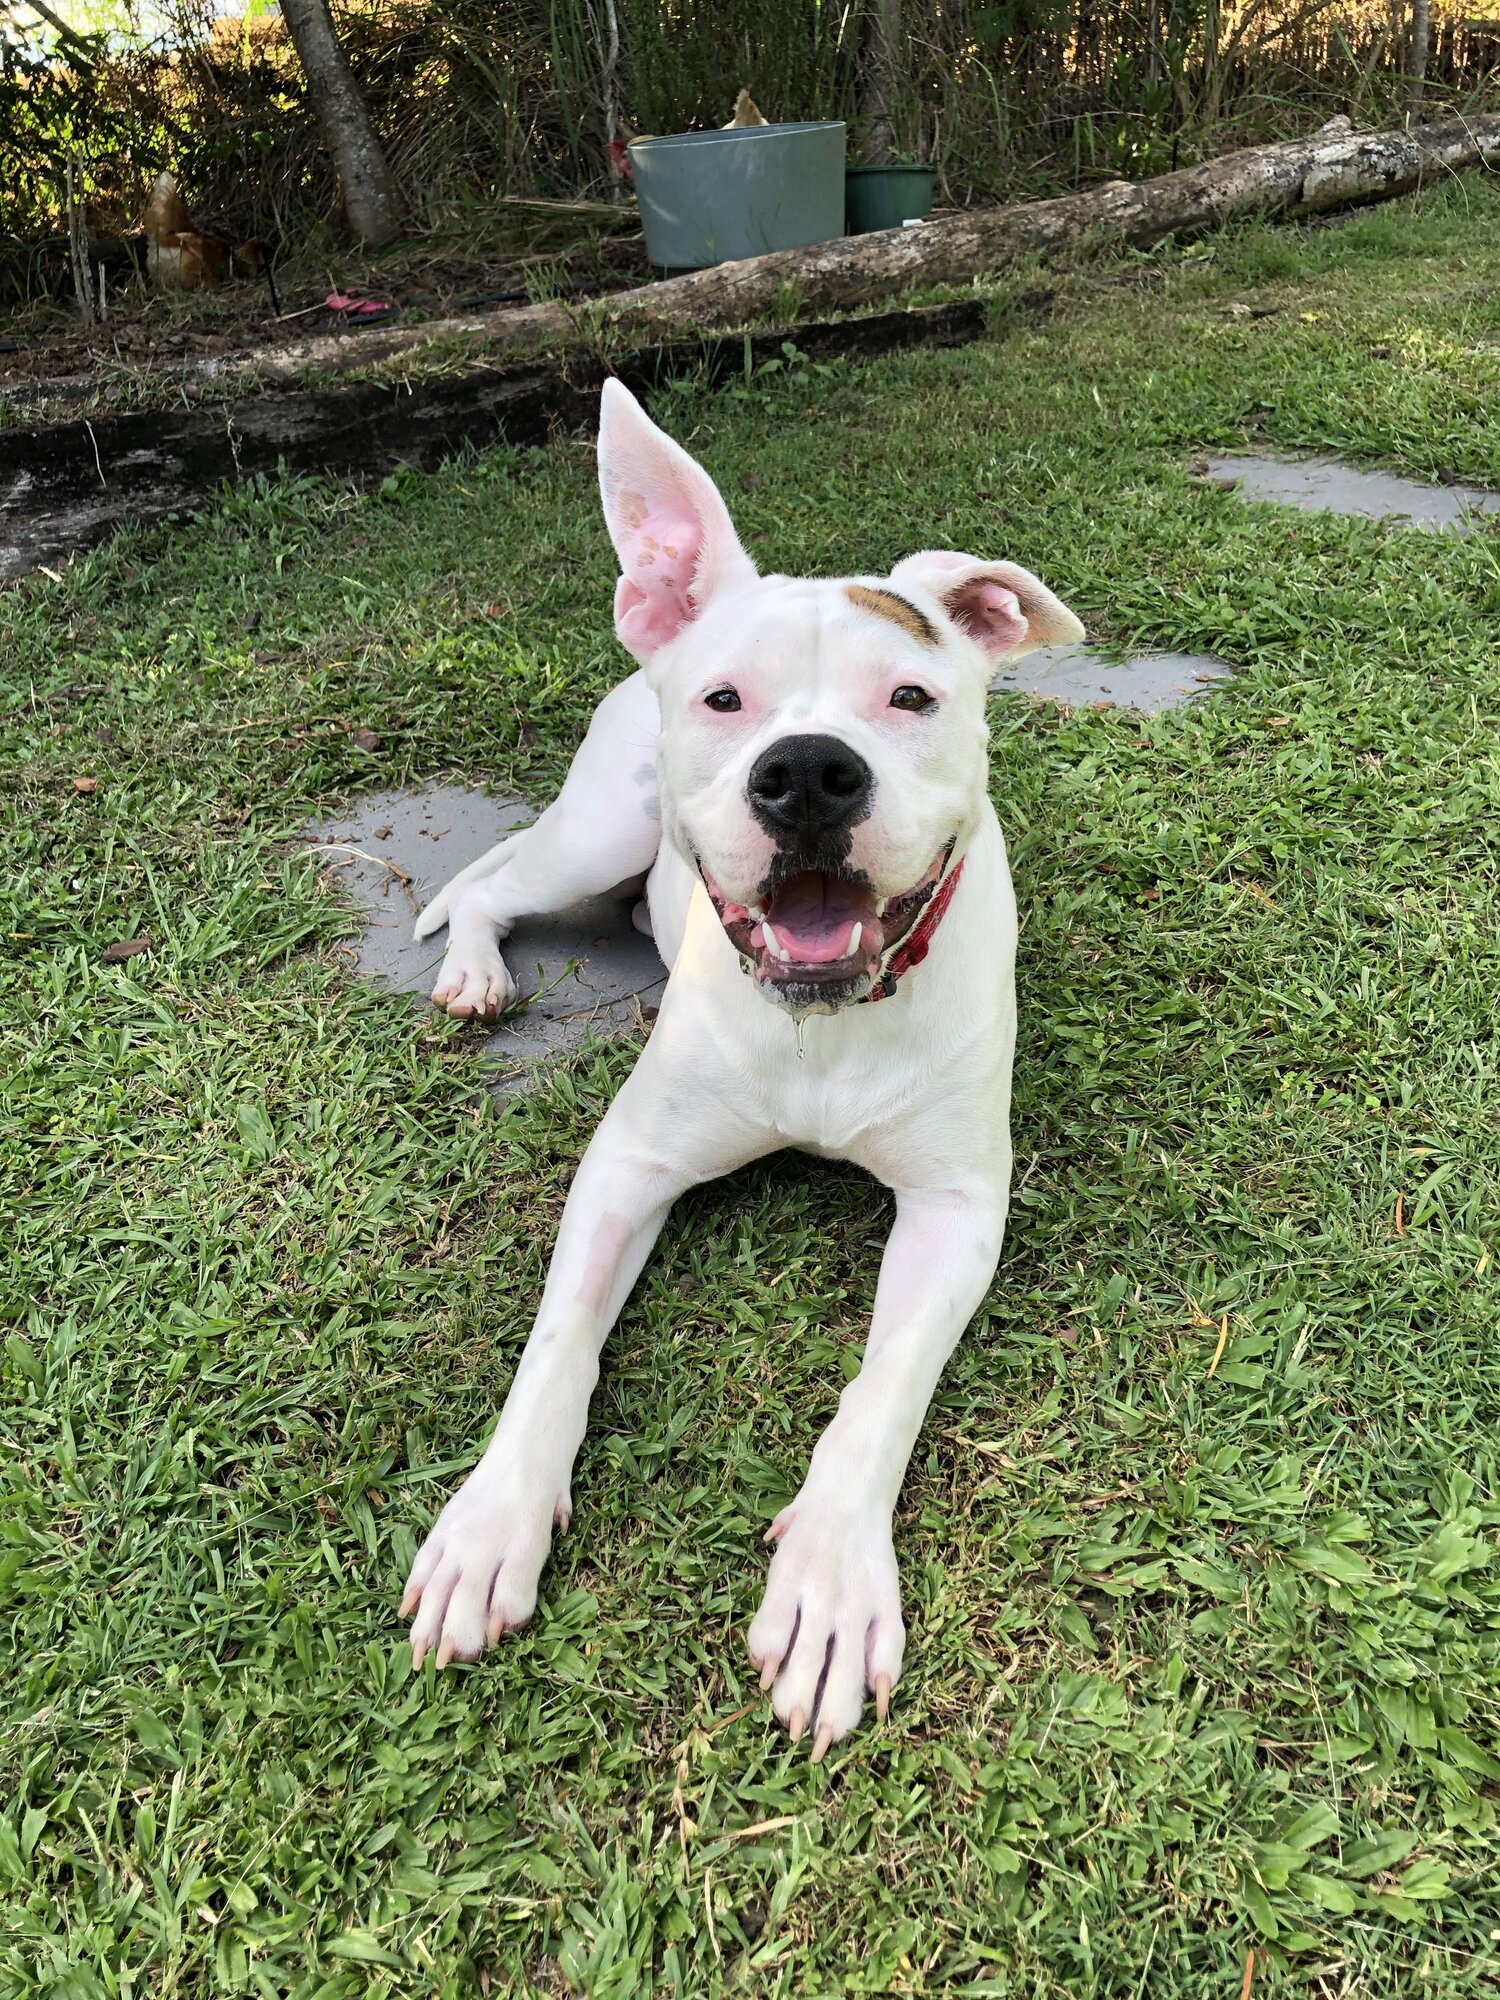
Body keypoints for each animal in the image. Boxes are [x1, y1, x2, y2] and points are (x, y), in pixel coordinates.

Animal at [400, 382, 1080, 1760]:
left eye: (911, 696)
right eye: (725, 698)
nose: (808, 770)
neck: (818, 1021)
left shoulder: (956, 1209)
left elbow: (881, 1385)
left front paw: (828, 1581)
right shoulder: (627, 1164)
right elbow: (558, 1339)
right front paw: (492, 1520)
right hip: (600, 827)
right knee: (492, 885)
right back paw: (476, 972)